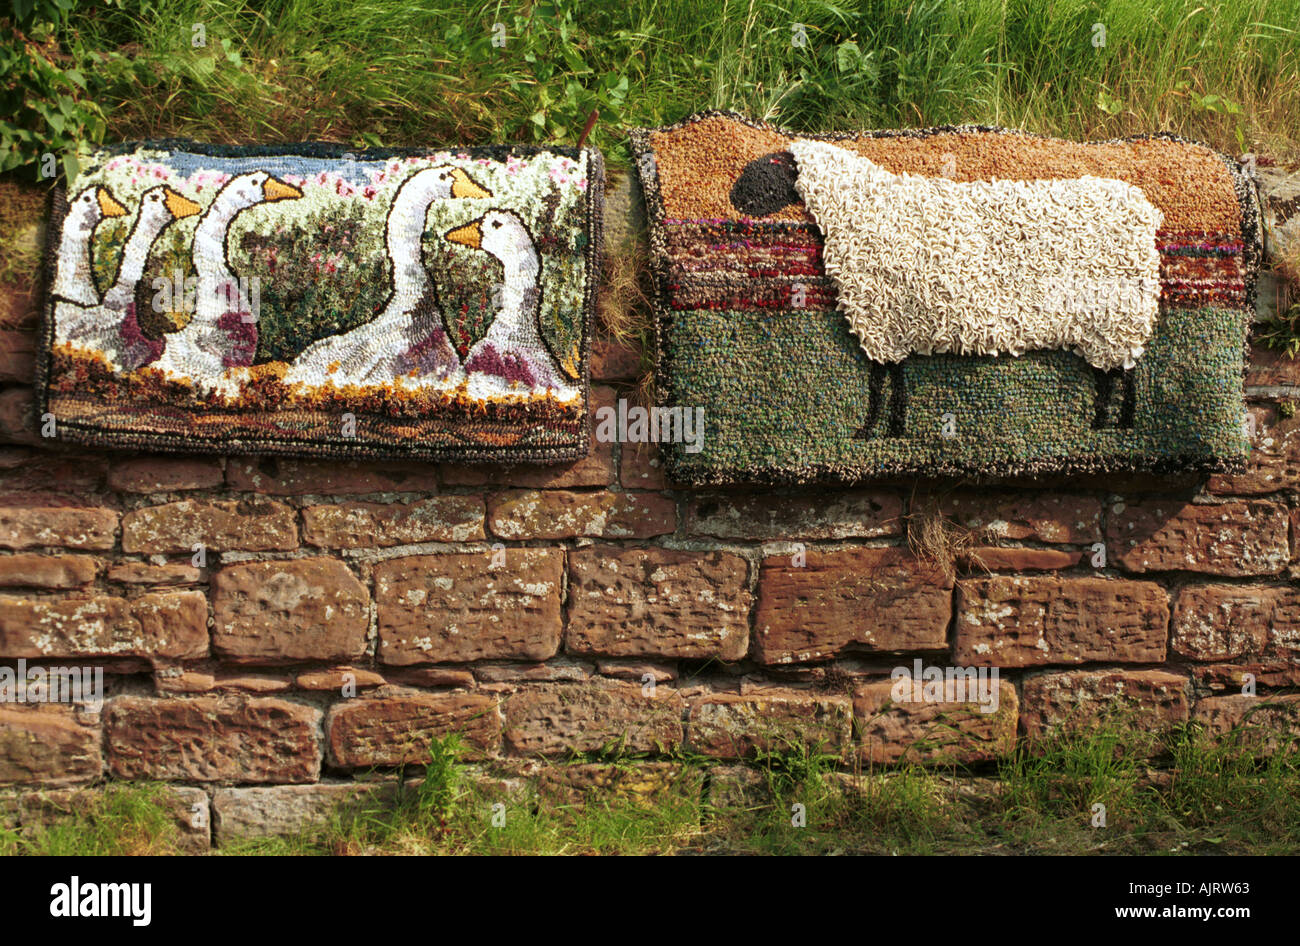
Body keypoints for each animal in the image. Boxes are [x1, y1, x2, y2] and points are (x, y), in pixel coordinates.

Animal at [785, 139, 1164, 436]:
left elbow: (882, 384)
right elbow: (891, 382)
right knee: (1109, 379)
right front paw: (887, 428)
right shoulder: (886, 330)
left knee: (1123, 378)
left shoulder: (882, 326)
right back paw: (1105, 423)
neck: (859, 206)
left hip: (1116, 321)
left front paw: (875, 429)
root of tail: (1146, 210)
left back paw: (1116, 425)